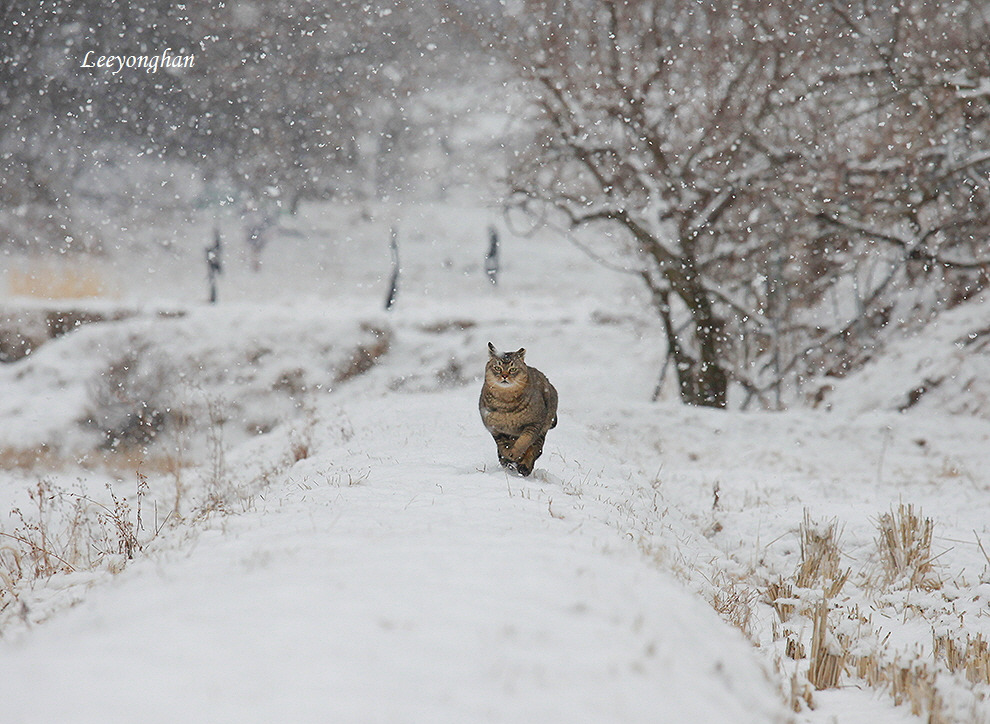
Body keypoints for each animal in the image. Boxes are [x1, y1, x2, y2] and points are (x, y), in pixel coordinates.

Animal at [478, 344, 560, 478]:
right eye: (497, 367)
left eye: (513, 369)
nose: (504, 375)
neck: (505, 402)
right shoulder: (494, 428)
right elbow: (502, 445)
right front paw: (507, 455)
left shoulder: (534, 424)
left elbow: (524, 441)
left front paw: (515, 454)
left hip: (543, 429)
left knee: (536, 449)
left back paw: (524, 466)